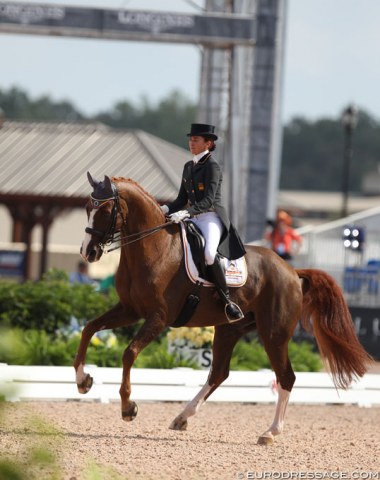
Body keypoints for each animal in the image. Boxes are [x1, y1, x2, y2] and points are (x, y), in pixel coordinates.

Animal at [75, 174, 372, 444]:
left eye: (105, 210)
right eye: (87, 208)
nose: (88, 252)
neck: (153, 249)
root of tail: (292, 271)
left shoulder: (158, 317)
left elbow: (129, 352)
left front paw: (128, 407)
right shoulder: (129, 310)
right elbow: (89, 328)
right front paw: (82, 381)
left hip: (273, 334)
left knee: (285, 377)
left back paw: (269, 433)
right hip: (230, 329)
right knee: (219, 372)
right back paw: (182, 417)